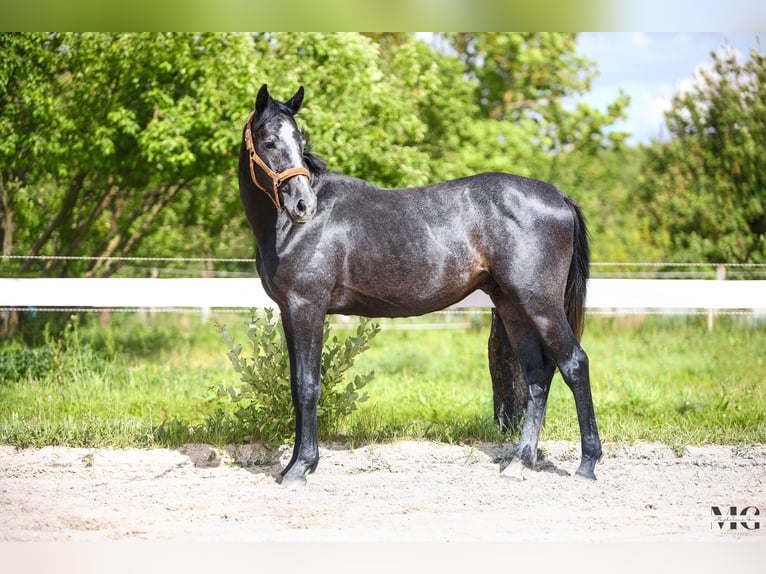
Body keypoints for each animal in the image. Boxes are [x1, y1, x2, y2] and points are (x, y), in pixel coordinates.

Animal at [239, 84, 602, 486]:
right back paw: (519, 462)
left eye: (300, 141)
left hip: (541, 304)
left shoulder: (307, 307)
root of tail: (559, 197)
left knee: (574, 364)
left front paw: (301, 467)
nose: (304, 205)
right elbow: (295, 383)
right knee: (537, 375)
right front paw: (293, 465)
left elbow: (307, 386)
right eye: (270, 142)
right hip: (512, 306)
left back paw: (586, 464)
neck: (287, 229)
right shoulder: (290, 311)